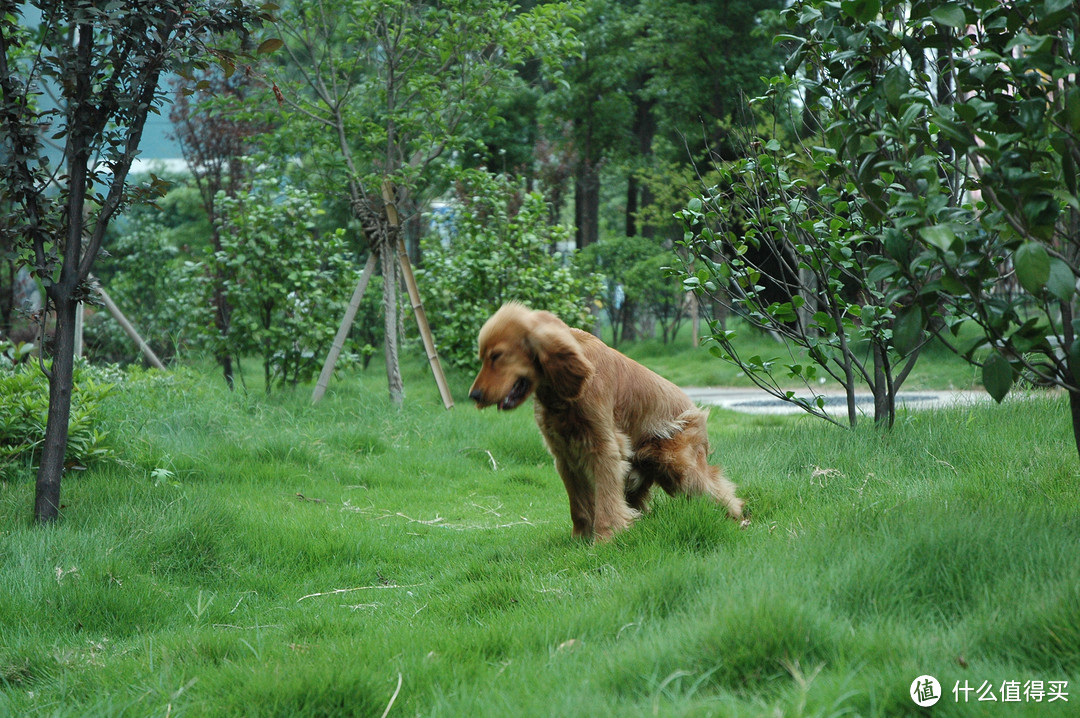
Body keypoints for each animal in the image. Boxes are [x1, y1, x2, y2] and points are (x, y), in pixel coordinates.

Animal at [468, 300, 747, 539]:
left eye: (497, 356)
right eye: (482, 357)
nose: (474, 395)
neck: (562, 392)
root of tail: (696, 410)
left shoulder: (604, 449)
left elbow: (606, 503)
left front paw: (605, 539)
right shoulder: (564, 455)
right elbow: (579, 506)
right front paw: (580, 539)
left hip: (677, 466)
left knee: (720, 491)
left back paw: (738, 520)